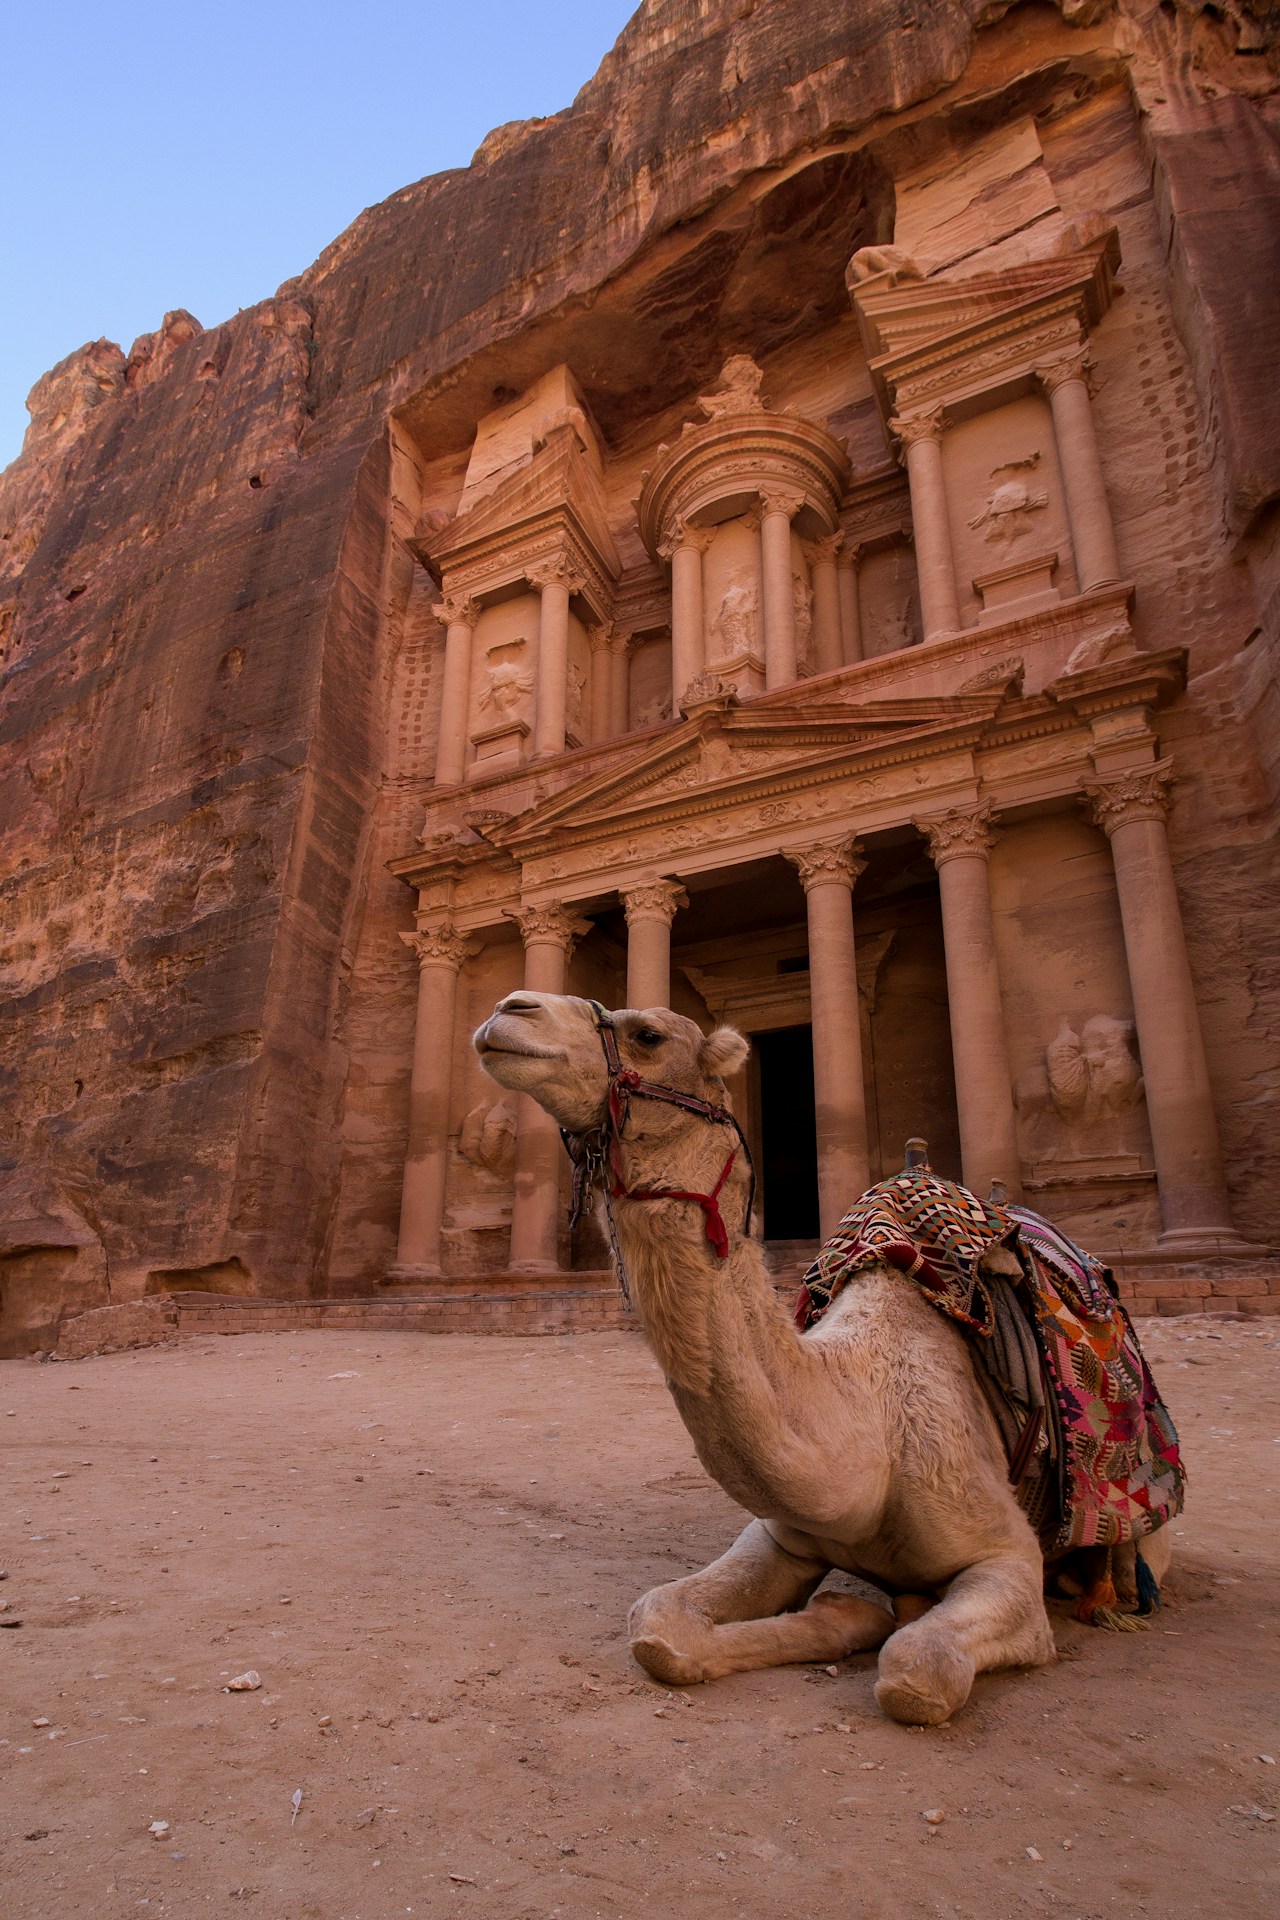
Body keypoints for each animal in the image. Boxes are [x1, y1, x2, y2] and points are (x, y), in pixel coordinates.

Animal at [473, 992, 1171, 1725]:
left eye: (648, 1034)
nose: (510, 1009)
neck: (869, 1434)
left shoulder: (1005, 1556)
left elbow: (917, 1669)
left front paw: (885, 1624)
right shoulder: (780, 1535)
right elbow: (657, 1624)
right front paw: (848, 1613)